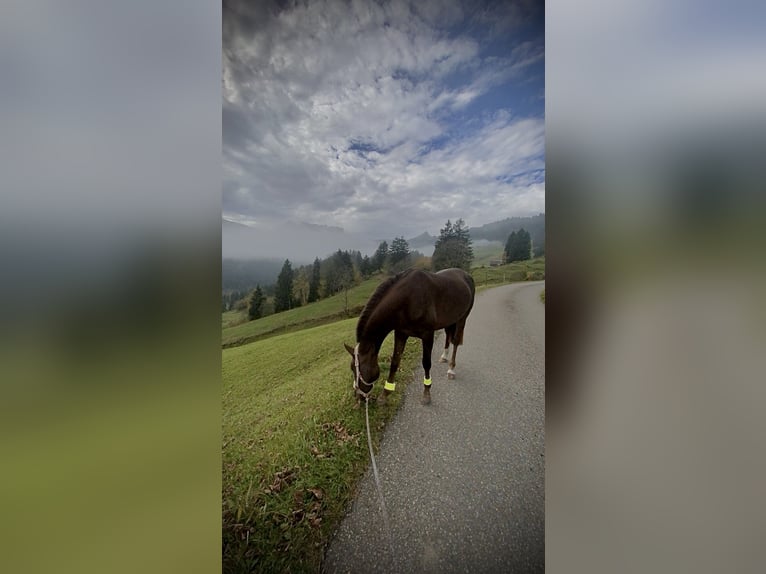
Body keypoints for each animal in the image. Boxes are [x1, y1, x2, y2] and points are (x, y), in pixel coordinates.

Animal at [344, 268, 474, 408]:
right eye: (352, 368)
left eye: (360, 369)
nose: (358, 398)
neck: (407, 299)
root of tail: (466, 275)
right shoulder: (401, 333)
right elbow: (395, 362)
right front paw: (385, 395)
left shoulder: (427, 335)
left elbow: (426, 363)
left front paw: (426, 394)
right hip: (450, 320)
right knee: (448, 336)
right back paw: (444, 357)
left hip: (462, 319)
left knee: (455, 341)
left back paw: (451, 369)